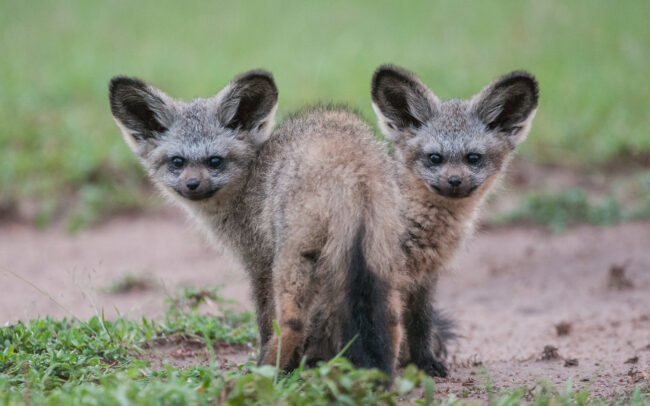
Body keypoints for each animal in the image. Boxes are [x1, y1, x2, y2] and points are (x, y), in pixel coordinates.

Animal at [108, 70, 406, 376]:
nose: (192, 185)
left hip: (291, 262)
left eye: (215, 161)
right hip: (380, 259)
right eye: (177, 162)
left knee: (292, 322)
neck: (250, 180)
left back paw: (264, 371)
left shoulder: (259, 263)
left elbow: (265, 320)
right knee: (393, 321)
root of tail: (352, 165)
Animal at [370, 65, 539, 377]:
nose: (455, 181)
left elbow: (421, 324)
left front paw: (425, 362)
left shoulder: (425, 279)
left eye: (473, 158)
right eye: (434, 158)